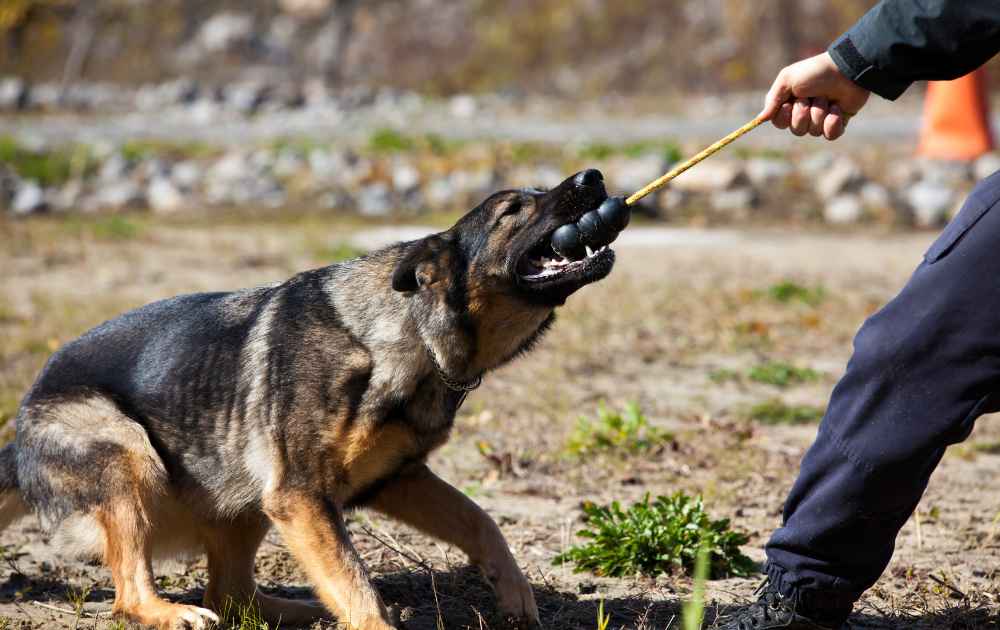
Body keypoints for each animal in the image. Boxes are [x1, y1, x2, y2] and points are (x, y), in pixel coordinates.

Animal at [0, 170, 616, 628]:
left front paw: (514, 593)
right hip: (133, 456)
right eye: (514, 209)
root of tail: (21, 428)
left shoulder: (394, 479)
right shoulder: (301, 495)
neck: (405, 331)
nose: (593, 176)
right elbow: (357, 585)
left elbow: (480, 520)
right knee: (133, 593)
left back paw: (302, 611)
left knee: (232, 595)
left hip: (245, 491)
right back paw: (171, 612)